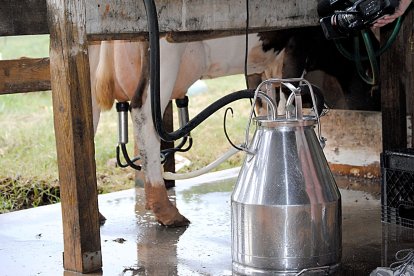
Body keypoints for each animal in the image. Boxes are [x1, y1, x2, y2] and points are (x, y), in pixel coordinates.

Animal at [89, 25, 376, 227]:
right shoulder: (295, 47)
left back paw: (99, 213)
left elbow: (267, 105)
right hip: (163, 54)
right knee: (144, 115)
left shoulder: (261, 65)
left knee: (89, 122)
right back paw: (166, 211)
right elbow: (286, 101)